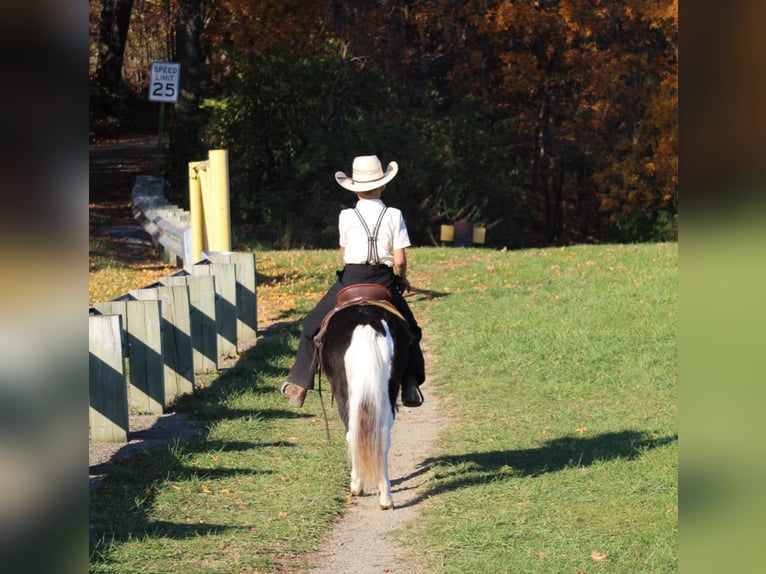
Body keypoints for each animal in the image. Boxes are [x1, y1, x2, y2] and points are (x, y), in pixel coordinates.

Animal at [318, 286, 414, 510]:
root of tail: (367, 325)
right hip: (388, 391)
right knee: (383, 437)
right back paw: (386, 497)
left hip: (344, 393)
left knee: (352, 433)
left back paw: (358, 486)